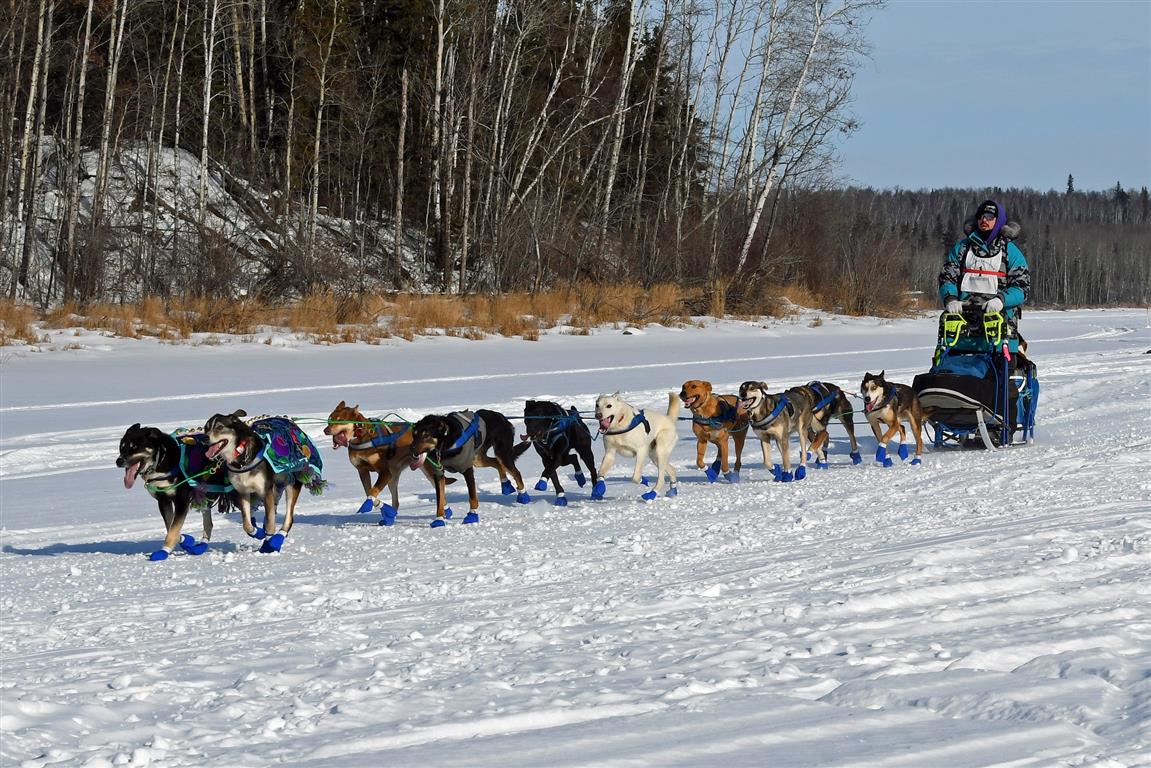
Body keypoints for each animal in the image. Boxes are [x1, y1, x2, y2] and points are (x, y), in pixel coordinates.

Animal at [203, 407, 324, 552]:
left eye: (220, 427)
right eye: (205, 428)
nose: (204, 438)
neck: (242, 458)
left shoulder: (265, 490)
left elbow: (271, 524)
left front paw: (269, 541)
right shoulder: (243, 492)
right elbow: (247, 524)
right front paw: (258, 532)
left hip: (291, 485)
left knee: (288, 517)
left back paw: (278, 538)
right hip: (275, 488)